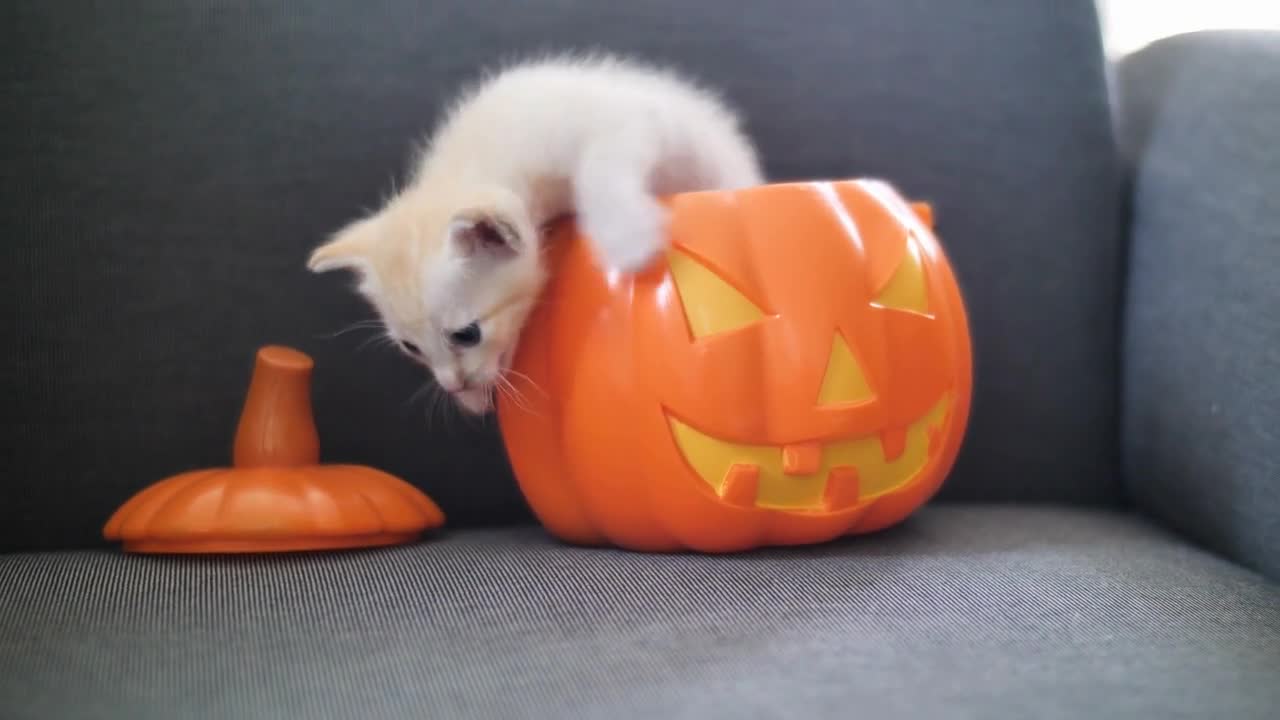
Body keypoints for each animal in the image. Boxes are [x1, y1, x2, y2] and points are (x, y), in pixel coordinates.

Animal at [307, 53, 768, 412]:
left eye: (466, 334)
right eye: (411, 348)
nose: (452, 387)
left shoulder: (630, 121)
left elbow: (599, 168)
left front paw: (629, 238)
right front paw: (472, 397)